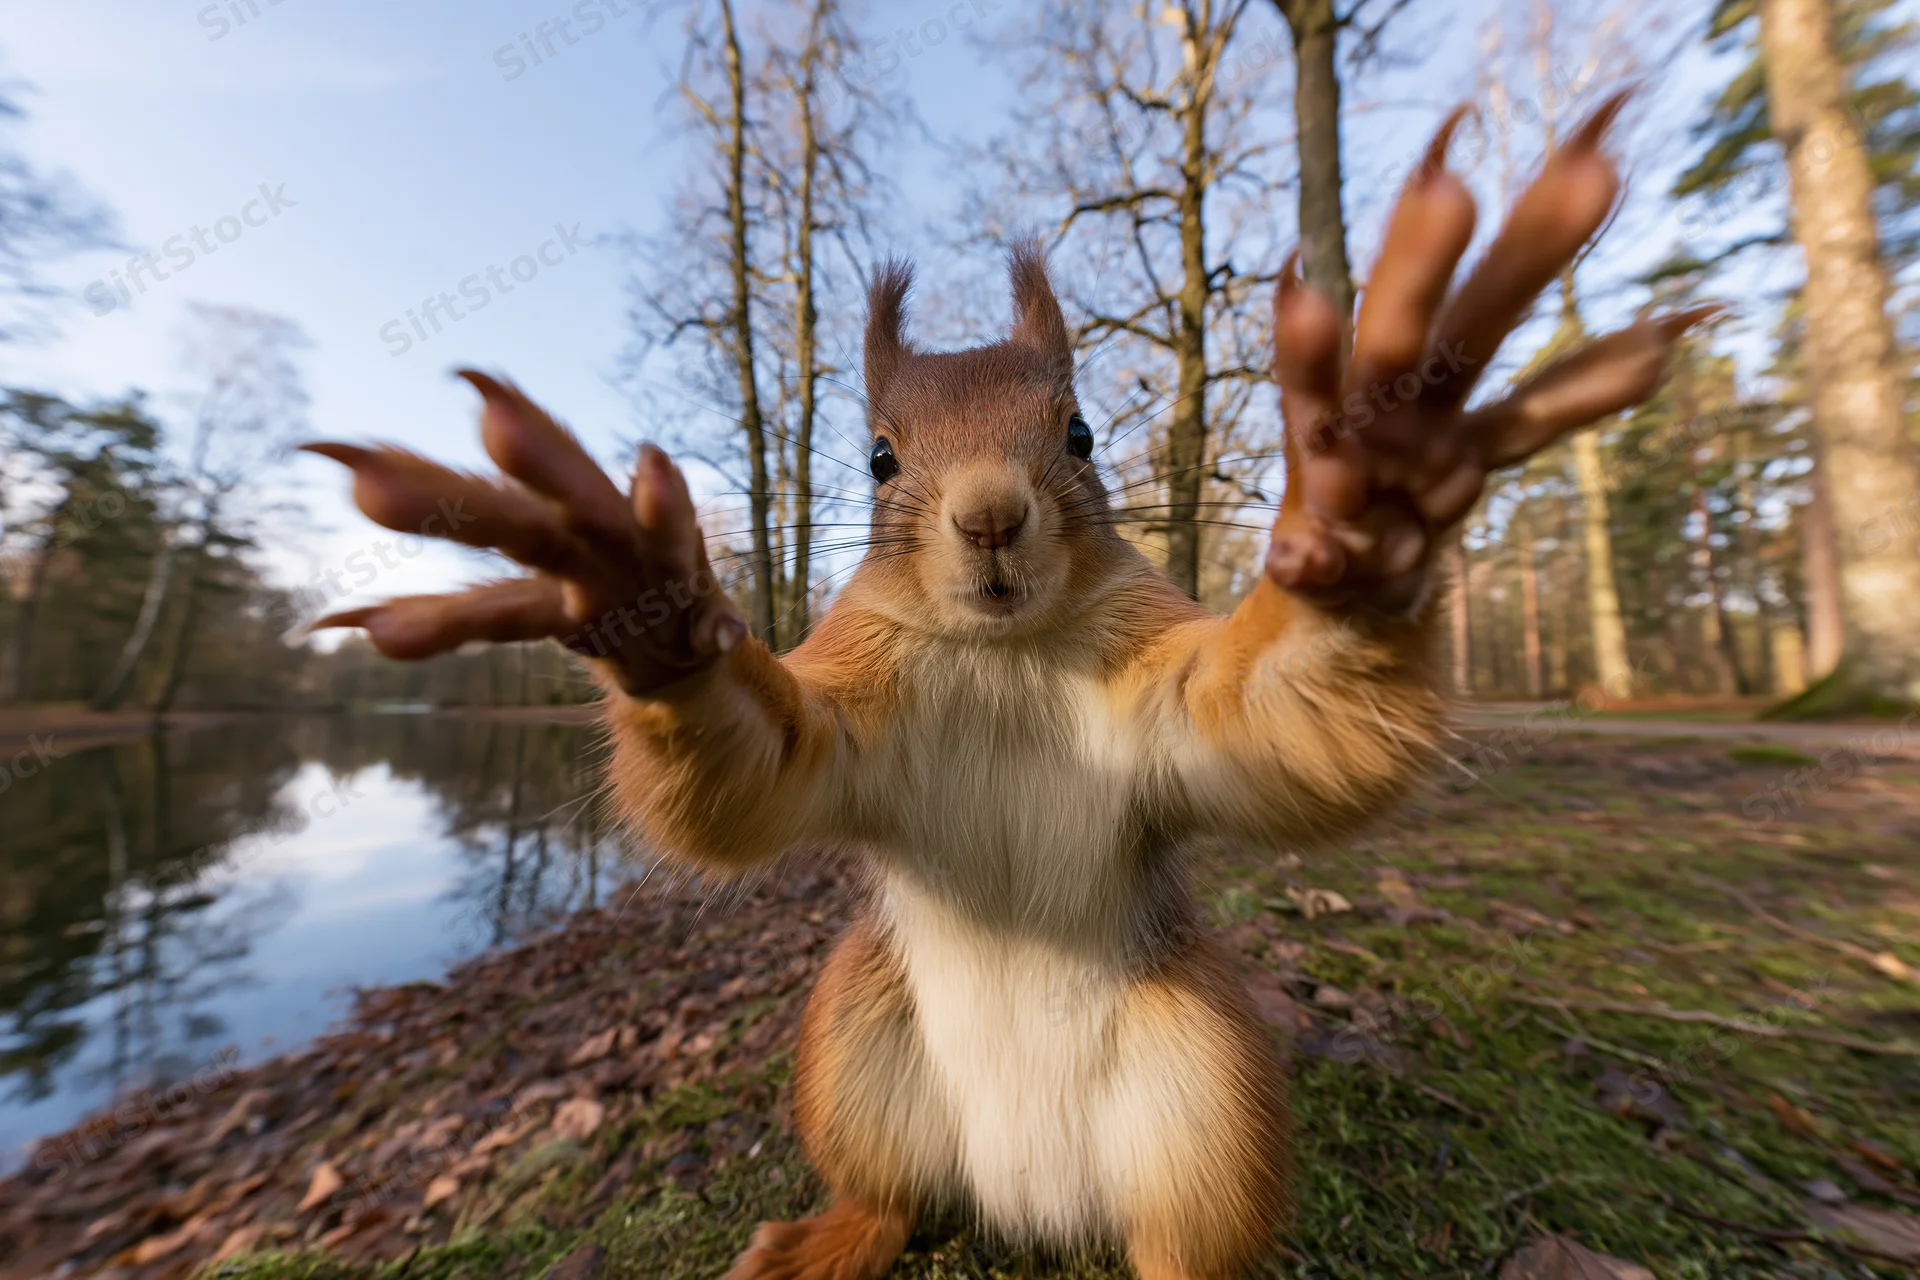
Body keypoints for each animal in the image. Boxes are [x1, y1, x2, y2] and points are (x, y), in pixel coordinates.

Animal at [307, 96, 1708, 1280]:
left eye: (1081, 433)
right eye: (877, 458)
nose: (988, 514)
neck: (1005, 656)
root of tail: (1031, 1197)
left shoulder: (1168, 693)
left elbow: (1277, 728)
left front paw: (1375, 500)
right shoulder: (844, 708)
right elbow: (752, 776)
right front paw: (641, 594)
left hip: (1206, 1081)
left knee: (1184, 1239)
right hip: (851, 1039)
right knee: (888, 1195)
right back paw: (825, 1240)